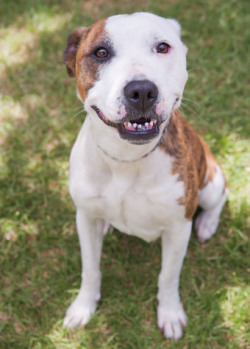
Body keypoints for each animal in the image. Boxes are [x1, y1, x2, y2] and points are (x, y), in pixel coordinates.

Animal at [61, 12, 228, 338]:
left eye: (163, 47)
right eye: (101, 52)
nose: (141, 91)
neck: (126, 160)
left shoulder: (178, 228)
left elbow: (168, 276)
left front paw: (170, 313)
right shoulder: (84, 217)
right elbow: (90, 268)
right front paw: (83, 306)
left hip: (211, 181)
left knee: (220, 196)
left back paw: (207, 224)